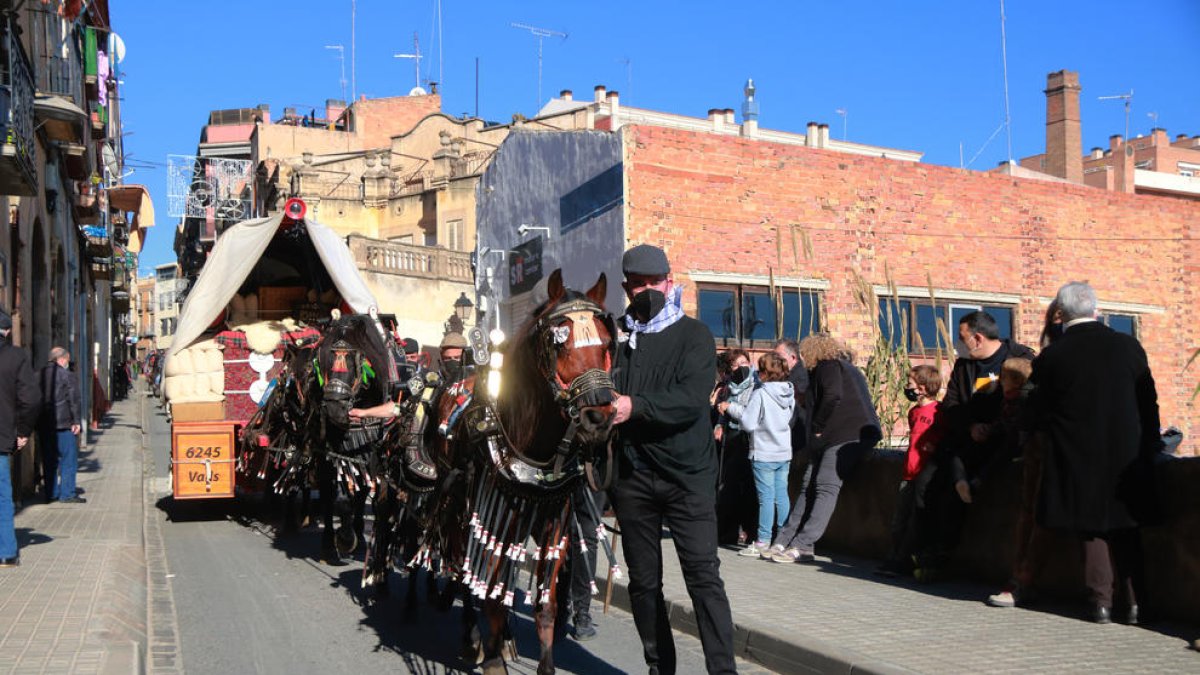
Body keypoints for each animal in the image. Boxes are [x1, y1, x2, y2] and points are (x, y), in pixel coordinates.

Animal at [427, 269, 614, 672]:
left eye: (608, 343)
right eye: (559, 343)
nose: (598, 418)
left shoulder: (553, 522)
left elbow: (546, 604)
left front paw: (538, 660)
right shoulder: (493, 515)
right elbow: (489, 588)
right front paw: (492, 653)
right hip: (457, 507)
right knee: (465, 571)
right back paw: (474, 637)